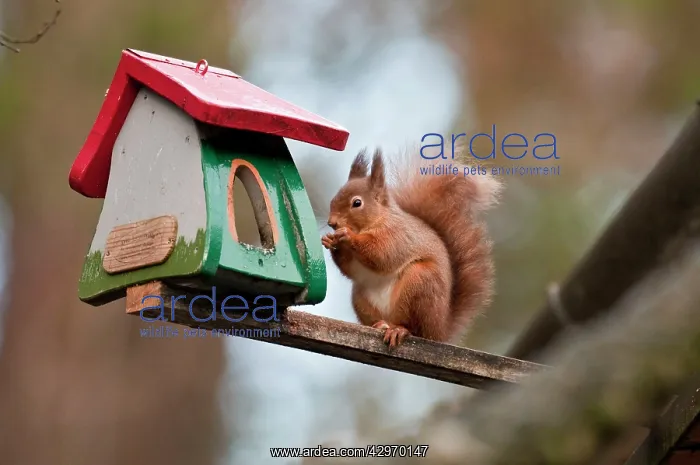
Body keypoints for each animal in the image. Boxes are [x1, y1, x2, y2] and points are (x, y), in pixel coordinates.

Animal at [321, 146, 502, 348]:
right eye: (333, 199)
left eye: (357, 203)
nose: (332, 223)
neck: (377, 219)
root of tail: (440, 331)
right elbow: (350, 269)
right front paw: (330, 241)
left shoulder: (398, 236)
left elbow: (381, 254)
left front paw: (348, 235)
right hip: (361, 298)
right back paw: (380, 325)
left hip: (420, 283)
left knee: (415, 329)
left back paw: (399, 330)